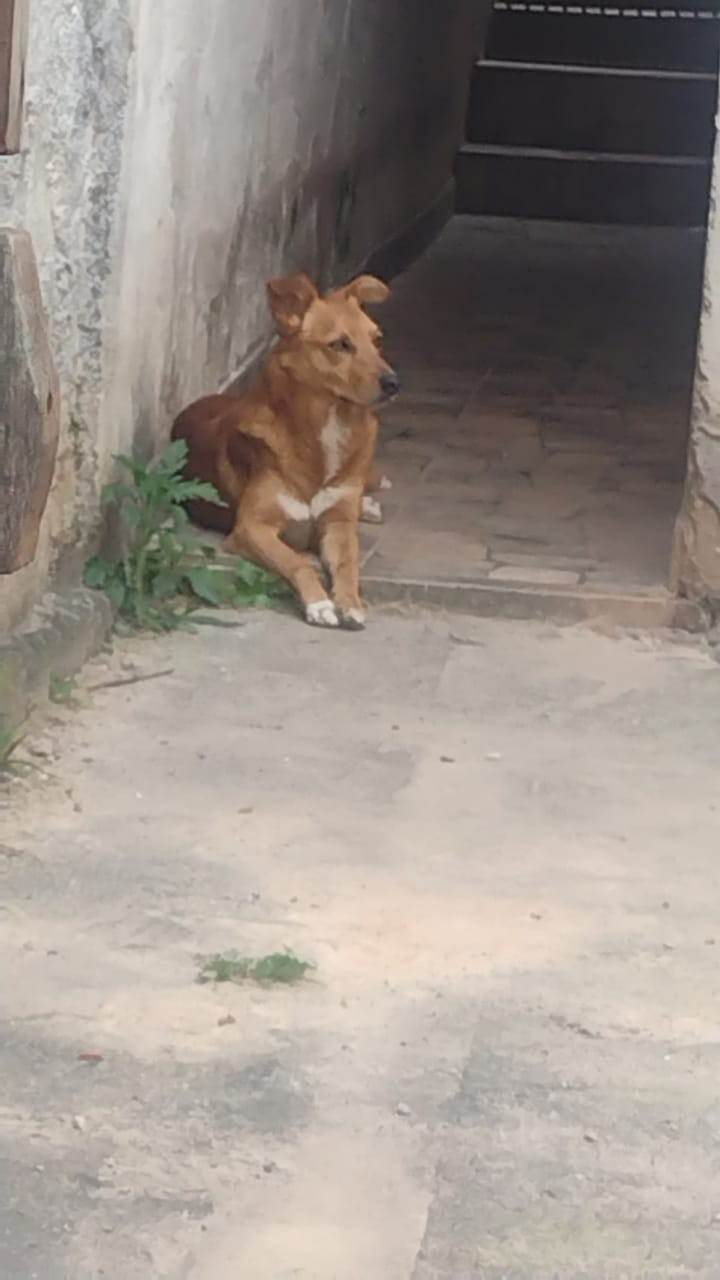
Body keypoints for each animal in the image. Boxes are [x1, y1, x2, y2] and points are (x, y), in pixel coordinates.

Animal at [171, 272, 398, 630]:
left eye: (376, 340)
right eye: (340, 344)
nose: (394, 383)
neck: (326, 429)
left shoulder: (338, 525)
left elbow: (348, 564)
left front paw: (350, 602)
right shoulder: (251, 529)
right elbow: (295, 561)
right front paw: (319, 603)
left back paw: (369, 505)